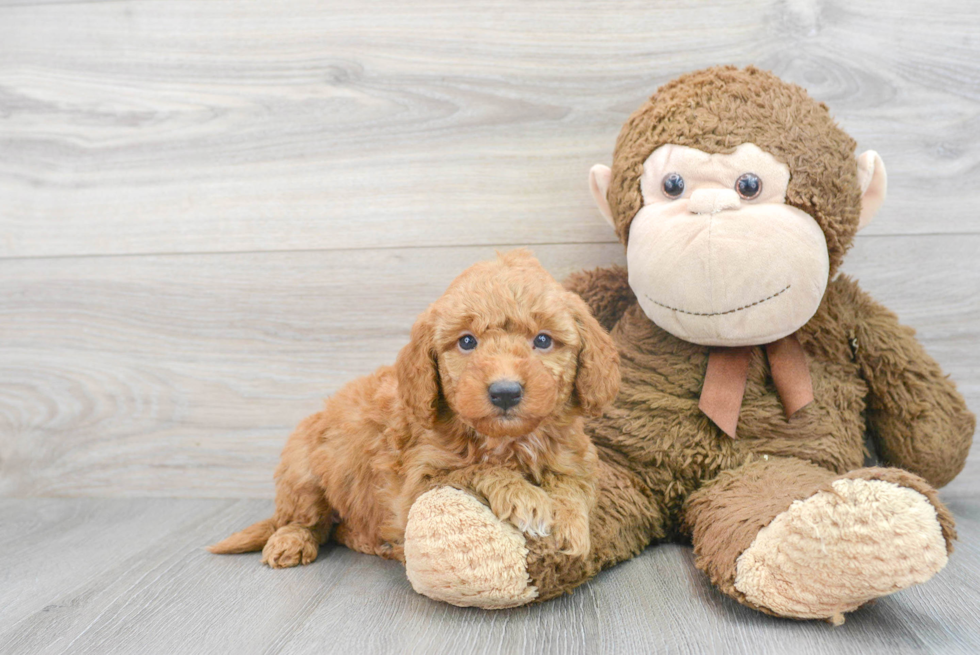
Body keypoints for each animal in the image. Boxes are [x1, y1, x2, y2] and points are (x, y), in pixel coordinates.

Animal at [210, 251, 620, 568]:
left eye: (543, 340)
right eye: (467, 342)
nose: (505, 392)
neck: (506, 441)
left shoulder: (576, 461)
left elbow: (573, 487)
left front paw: (569, 525)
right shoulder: (419, 480)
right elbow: (475, 469)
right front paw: (525, 497)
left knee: (338, 529)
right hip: (303, 470)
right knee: (306, 520)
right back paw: (290, 542)